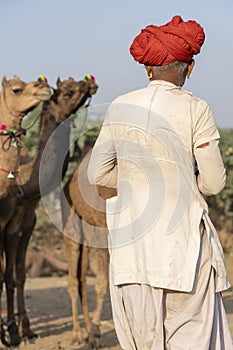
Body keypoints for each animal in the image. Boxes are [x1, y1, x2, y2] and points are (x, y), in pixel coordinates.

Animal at [2, 76, 98, 348]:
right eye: (67, 91)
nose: (90, 83)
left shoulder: (25, 224)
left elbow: (19, 275)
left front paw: (25, 331)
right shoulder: (8, 225)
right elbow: (7, 276)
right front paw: (12, 333)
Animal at [62, 138, 116, 348]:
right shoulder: (102, 230)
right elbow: (102, 284)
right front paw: (95, 335)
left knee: (81, 278)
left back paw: (85, 328)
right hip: (73, 225)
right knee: (73, 280)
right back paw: (77, 333)